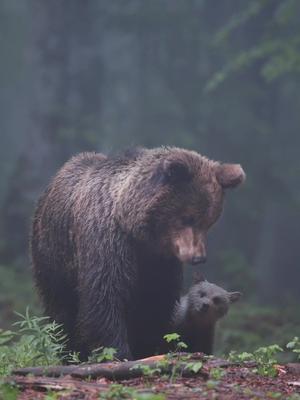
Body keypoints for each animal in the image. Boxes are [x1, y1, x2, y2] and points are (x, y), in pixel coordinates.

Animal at [30, 147, 245, 360]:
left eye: (208, 222)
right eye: (187, 218)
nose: (198, 257)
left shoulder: (160, 262)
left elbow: (155, 303)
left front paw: (147, 348)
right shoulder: (107, 244)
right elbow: (105, 298)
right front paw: (119, 352)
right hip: (54, 255)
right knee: (61, 308)